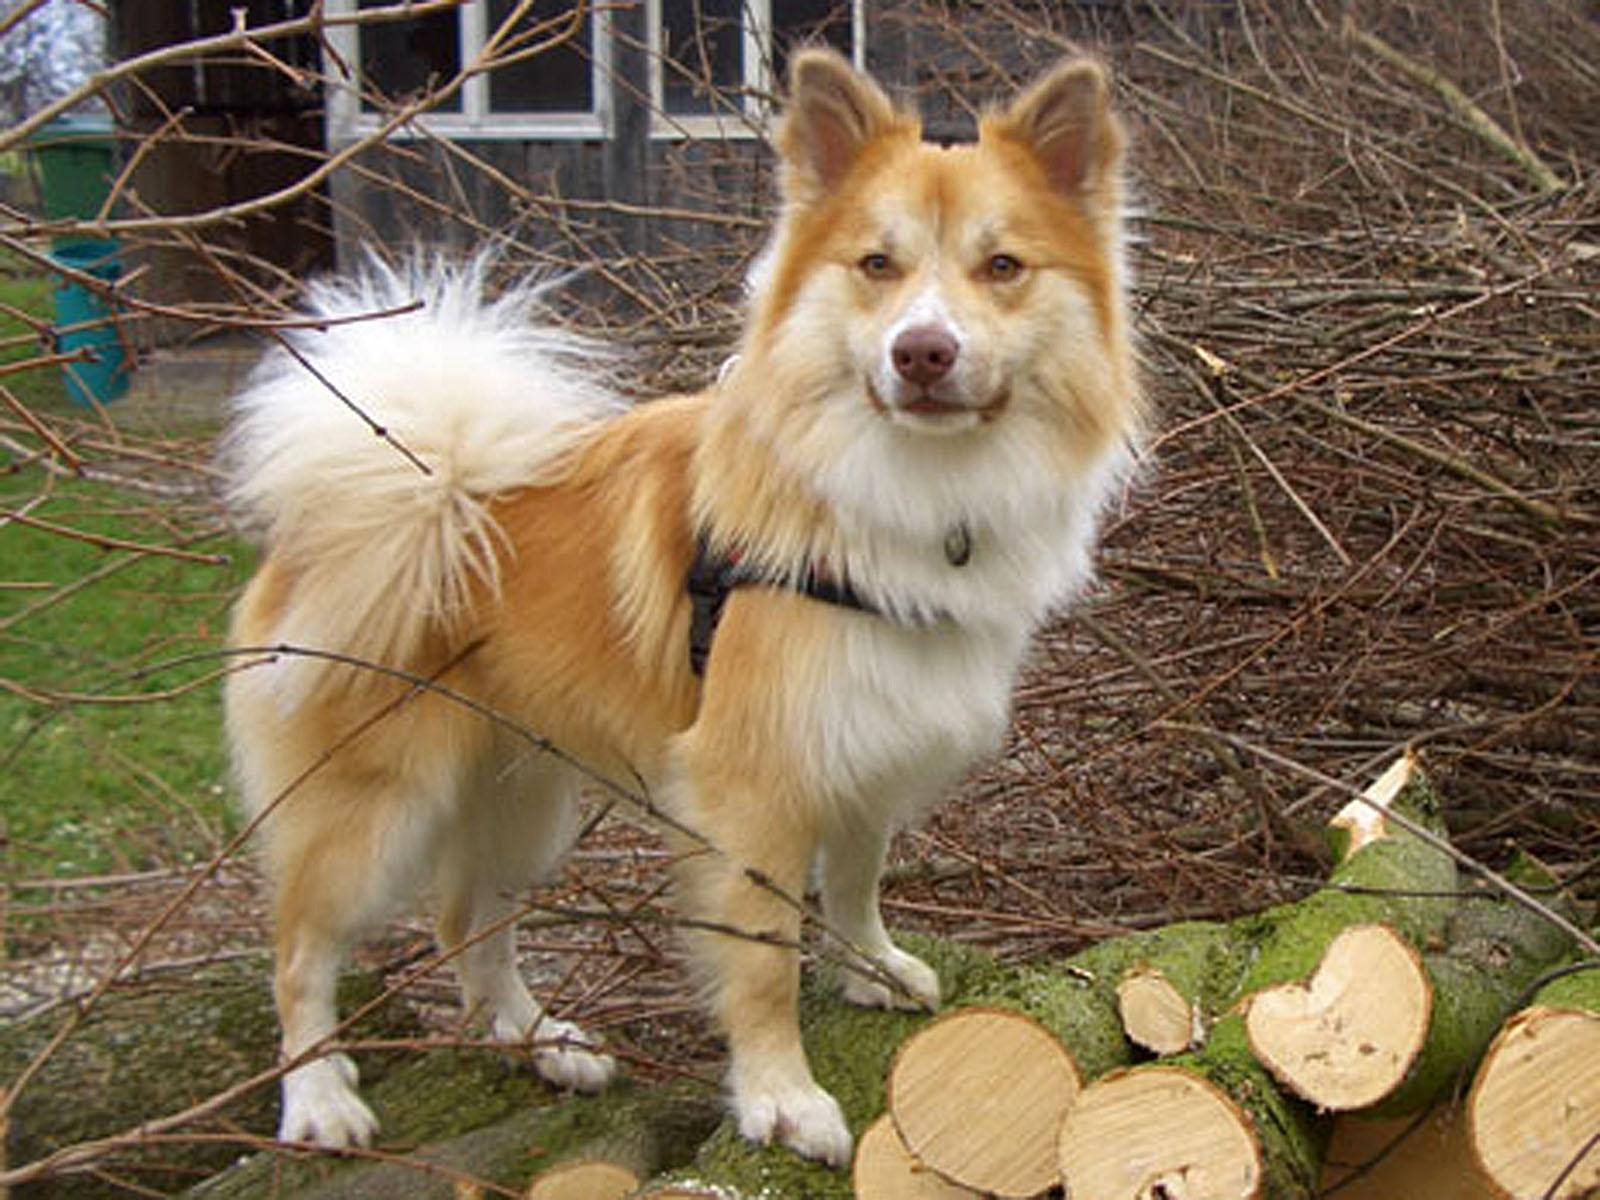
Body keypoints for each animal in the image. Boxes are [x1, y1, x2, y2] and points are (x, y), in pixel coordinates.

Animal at [222, 47, 1139, 1164]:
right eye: (876, 266)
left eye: (1001, 267)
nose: (921, 352)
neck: (895, 491)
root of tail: (423, 487)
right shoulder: (750, 785)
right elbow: (764, 954)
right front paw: (781, 1096)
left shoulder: (865, 744)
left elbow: (857, 879)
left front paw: (869, 967)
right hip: (374, 804)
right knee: (299, 949)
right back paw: (317, 1099)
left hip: (519, 795)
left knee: (467, 924)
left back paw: (540, 1042)